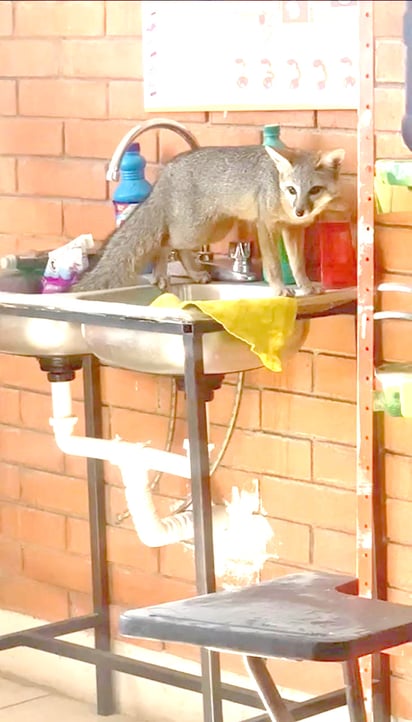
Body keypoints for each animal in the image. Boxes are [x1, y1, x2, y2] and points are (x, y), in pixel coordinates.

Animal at [74, 143, 344, 296]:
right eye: (291, 190)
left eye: (314, 190)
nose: (300, 211)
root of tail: (168, 170)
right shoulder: (265, 225)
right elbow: (274, 265)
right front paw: (279, 288)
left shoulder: (293, 229)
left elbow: (298, 265)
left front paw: (306, 286)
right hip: (194, 230)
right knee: (166, 243)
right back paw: (162, 276)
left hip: (214, 230)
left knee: (179, 249)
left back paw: (194, 275)